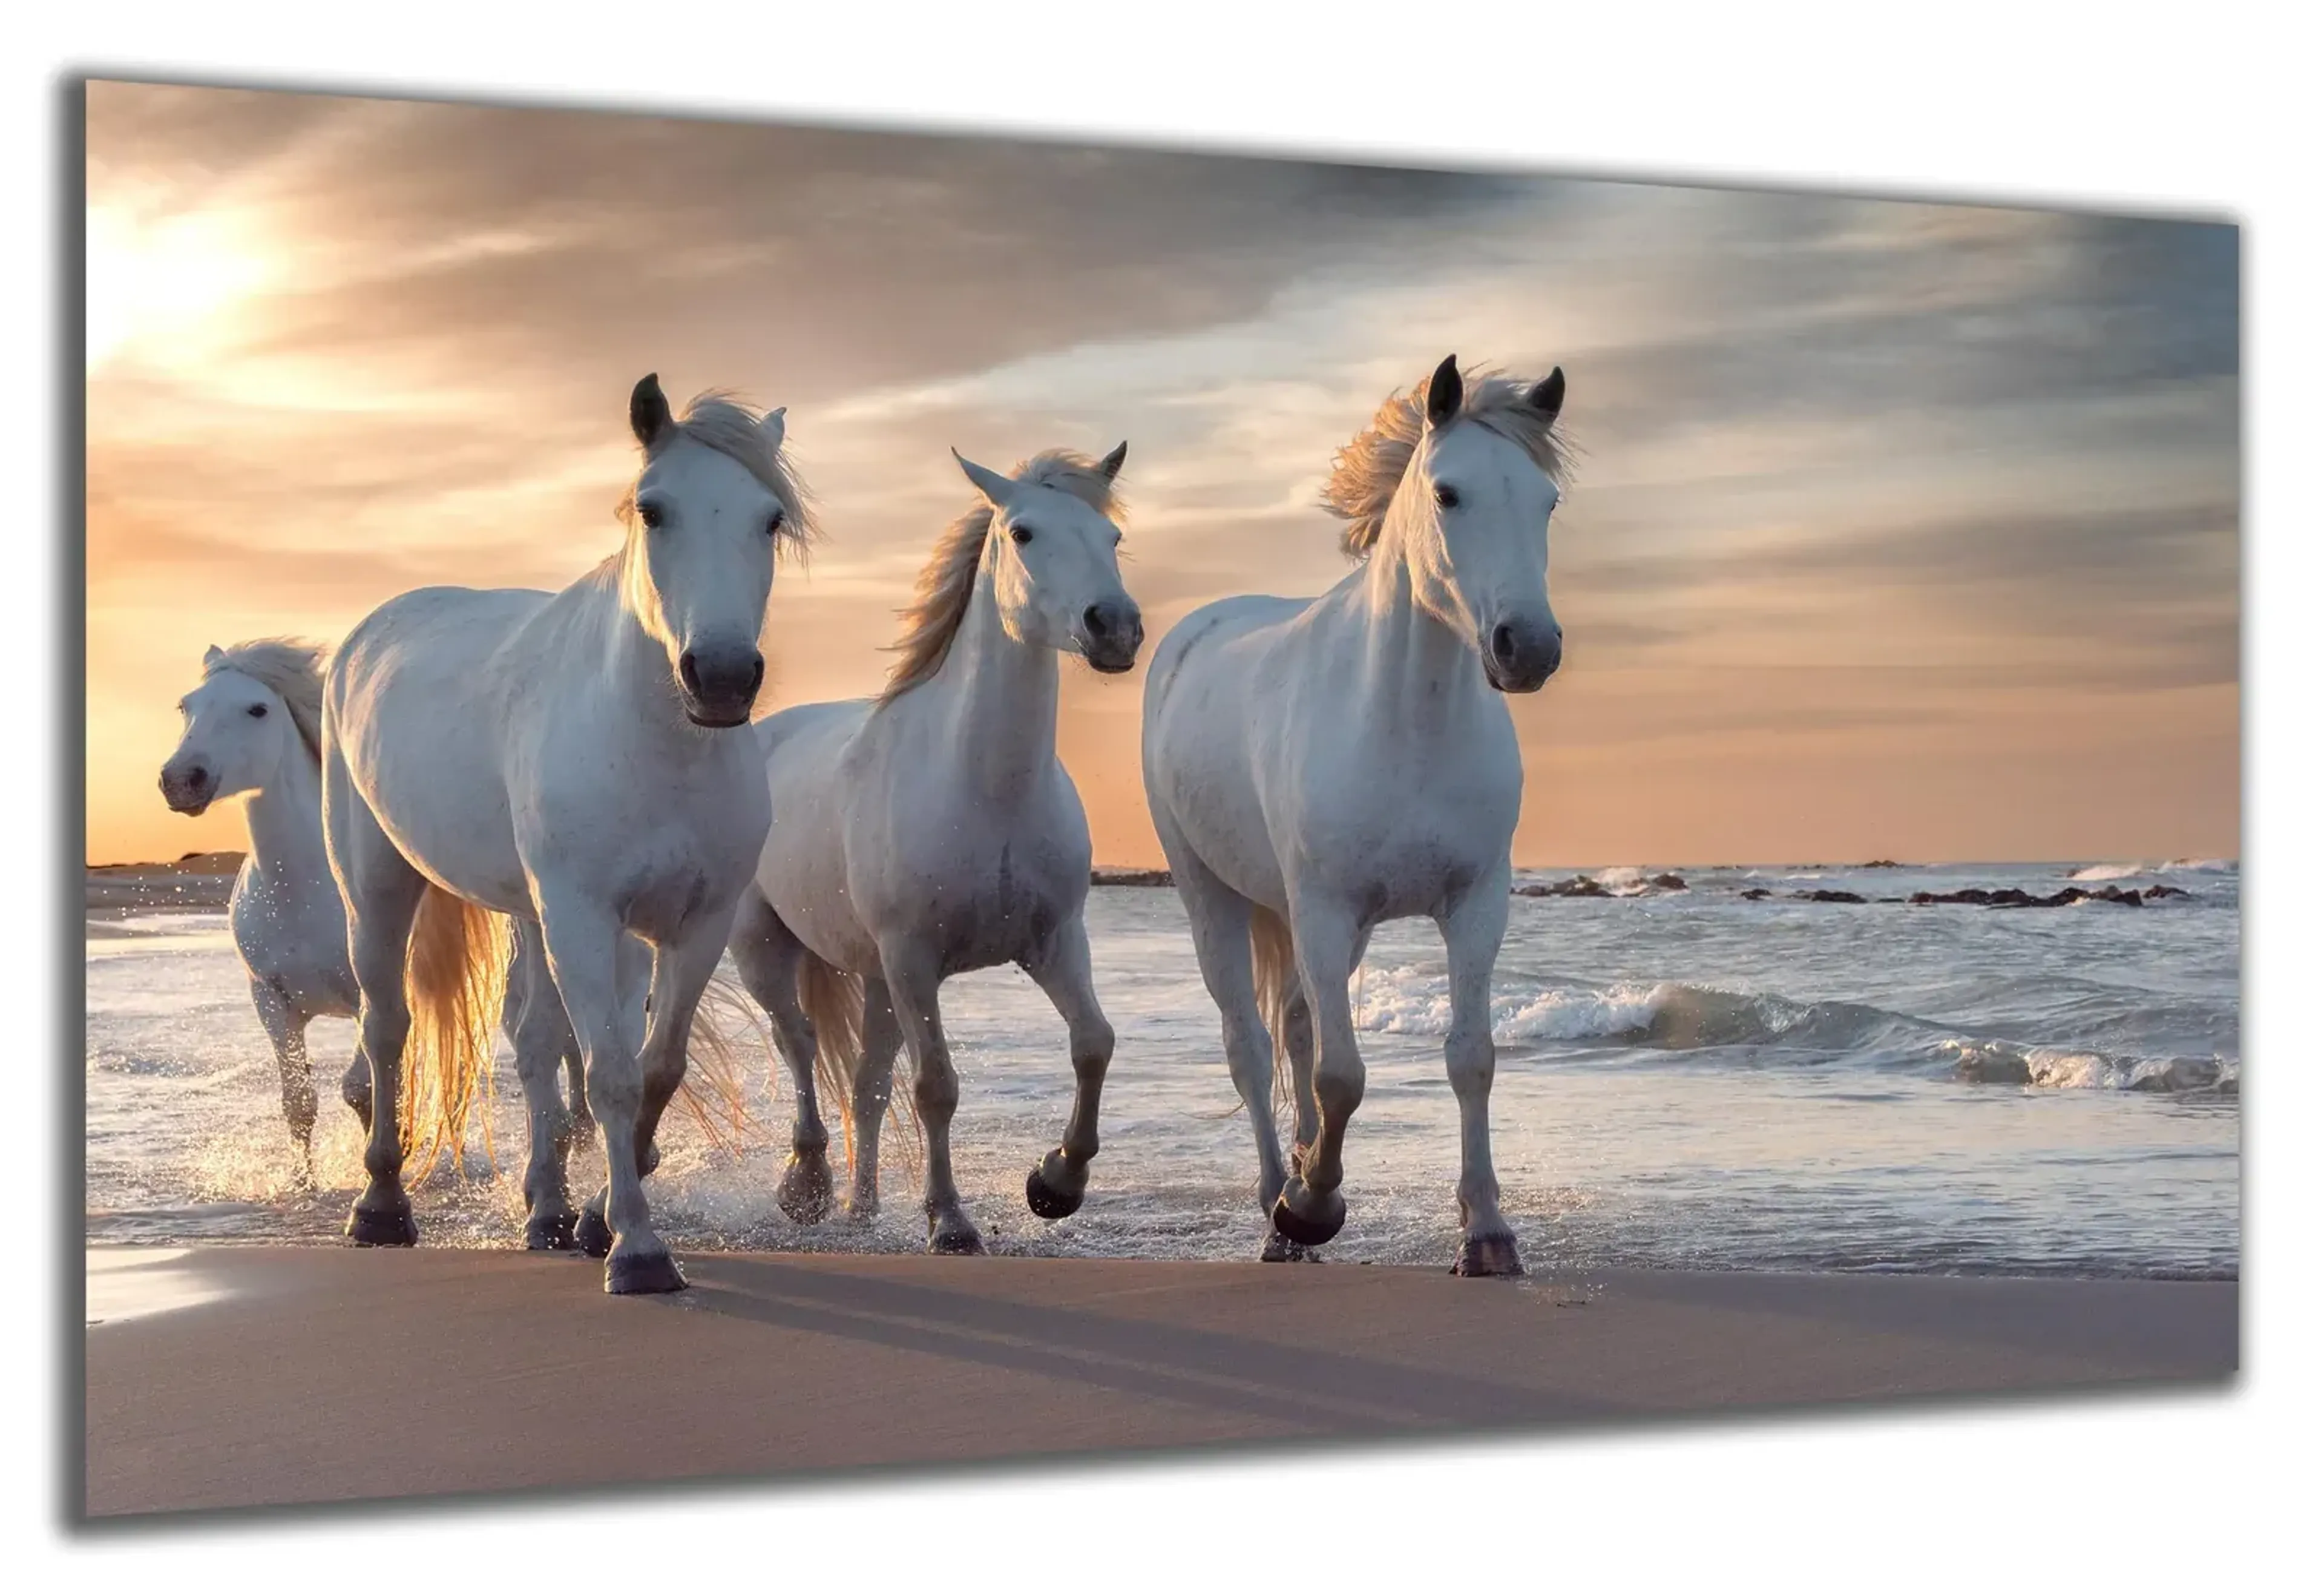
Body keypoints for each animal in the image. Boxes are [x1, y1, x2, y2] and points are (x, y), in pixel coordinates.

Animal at [321, 375, 807, 1293]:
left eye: (769, 518)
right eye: (654, 510)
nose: (722, 678)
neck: (657, 744)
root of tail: (367, 635)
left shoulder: (693, 923)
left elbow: (653, 1065)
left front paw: (597, 1216)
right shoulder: (583, 917)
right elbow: (611, 1075)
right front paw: (639, 1250)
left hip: (531, 913)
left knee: (536, 1043)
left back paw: (546, 1209)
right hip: (378, 886)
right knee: (387, 1026)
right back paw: (381, 1206)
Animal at [727, 442, 1141, 1256]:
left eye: (1111, 538)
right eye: (1022, 532)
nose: (1113, 626)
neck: (984, 789)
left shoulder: (1054, 942)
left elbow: (1094, 1044)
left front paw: (1056, 1182)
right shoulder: (915, 958)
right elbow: (936, 1086)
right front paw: (950, 1221)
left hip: (877, 978)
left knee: (864, 1082)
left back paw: (860, 1207)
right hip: (768, 948)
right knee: (799, 1043)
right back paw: (807, 1185)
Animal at [1140, 355, 1569, 1276]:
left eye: (1547, 501)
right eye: (1447, 493)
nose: (1529, 647)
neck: (1406, 724)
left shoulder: (1475, 904)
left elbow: (1470, 1058)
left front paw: (1487, 1230)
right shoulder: (1326, 909)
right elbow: (1342, 1074)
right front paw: (1310, 1206)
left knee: (1297, 1028)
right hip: (1213, 898)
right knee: (1251, 1044)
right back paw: (1281, 1203)